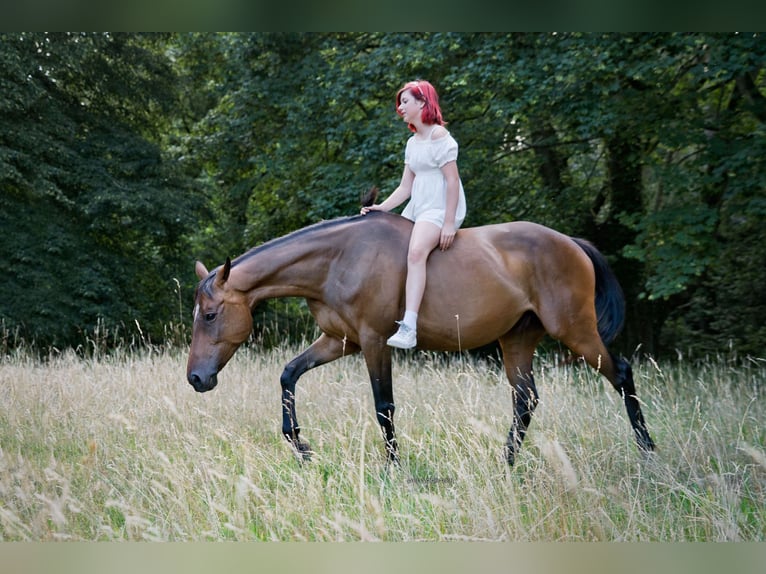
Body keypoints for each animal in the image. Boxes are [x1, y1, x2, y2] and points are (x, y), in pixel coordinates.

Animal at [184, 212, 656, 468]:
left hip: (576, 332)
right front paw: (300, 445)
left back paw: (648, 454)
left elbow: (384, 407)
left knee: (622, 376)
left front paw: (393, 468)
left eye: (210, 315)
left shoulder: (374, 342)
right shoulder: (339, 340)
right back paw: (505, 464)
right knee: (526, 400)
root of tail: (570, 243)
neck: (340, 258)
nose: (195, 379)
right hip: (518, 340)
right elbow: (288, 375)